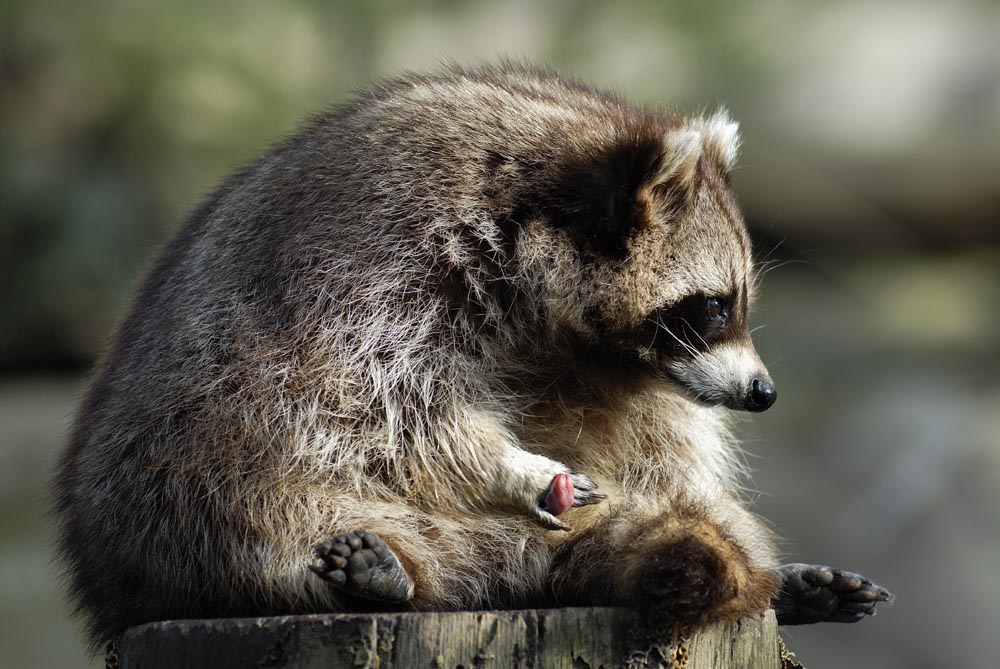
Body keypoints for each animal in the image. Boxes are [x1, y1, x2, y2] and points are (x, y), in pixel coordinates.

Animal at [52, 61, 892, 648]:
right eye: (714, 306)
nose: (763, 392)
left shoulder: (627, 370)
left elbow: (669, 448)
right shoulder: (375, 269)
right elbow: (390, 411)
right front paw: (510, 465)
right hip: (182, 483)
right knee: (252, 510)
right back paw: (374, 571)